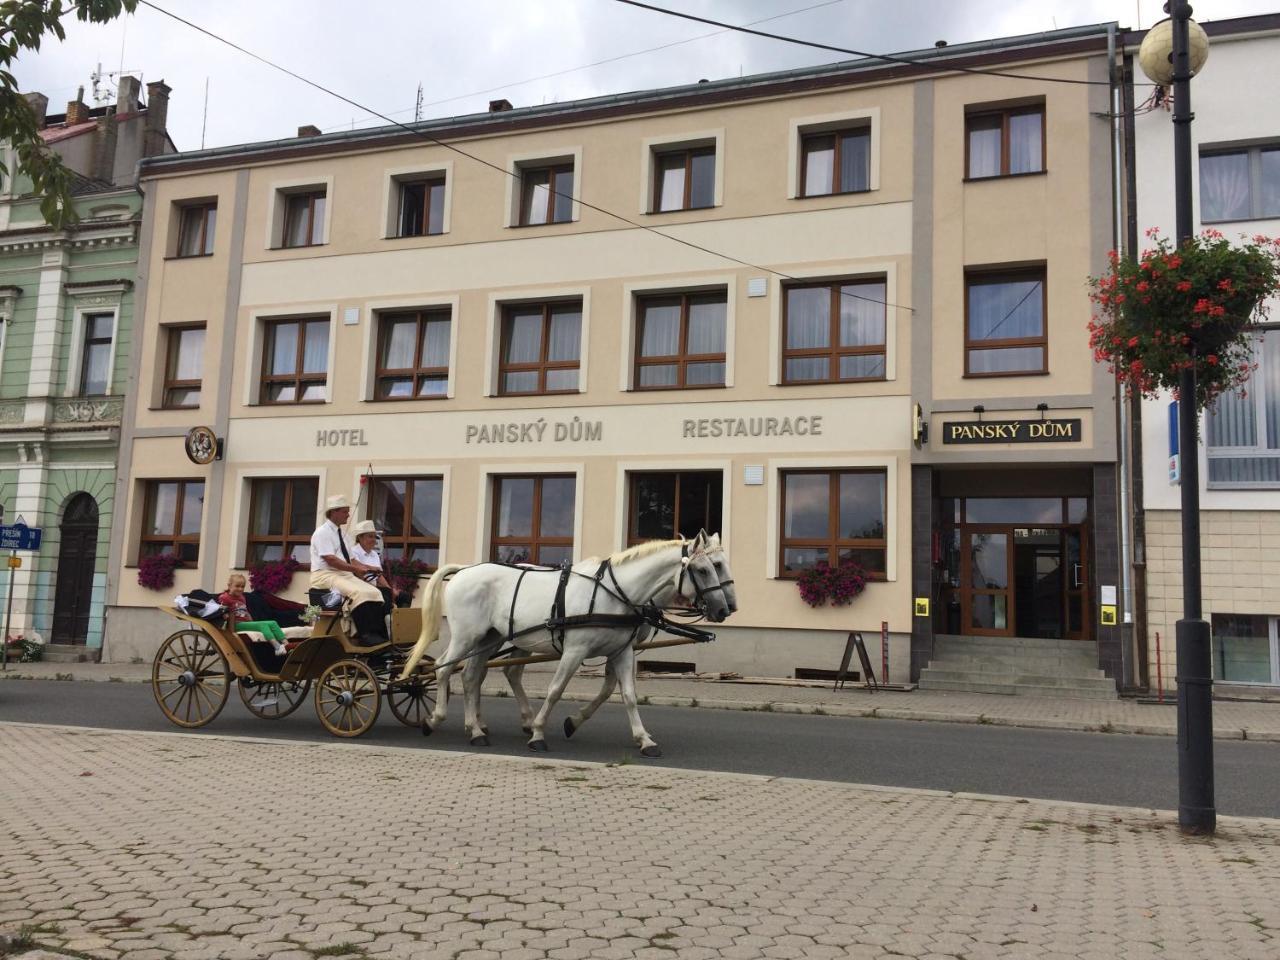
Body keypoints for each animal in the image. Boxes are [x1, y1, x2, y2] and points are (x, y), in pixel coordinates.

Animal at [399, 535, 742, 757]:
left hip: (489, 638)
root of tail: (464, 570)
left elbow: (627, 696)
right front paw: (539, 733)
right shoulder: (575, 651)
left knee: (473, 677)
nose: (725, 609)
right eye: (704, 569)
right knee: (444, 669)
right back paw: (436, 719)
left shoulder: (622, 651)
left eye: (719, 565)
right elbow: (555, 690)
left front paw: (644, 739)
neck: (617, 594)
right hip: (467, 636)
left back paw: (478, 729)